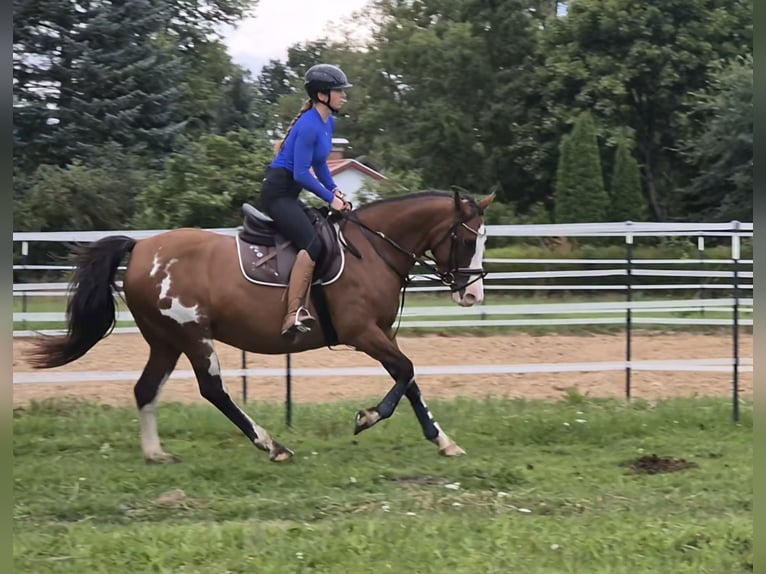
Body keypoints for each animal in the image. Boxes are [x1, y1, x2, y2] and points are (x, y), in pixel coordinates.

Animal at [28, 189, 495, 463]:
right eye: (467, 238)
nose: (472, 295)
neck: (372, 249)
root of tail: (141, 248)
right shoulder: (362, 333)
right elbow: (406, 371)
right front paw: (367, 417)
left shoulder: (383, 332)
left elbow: (410, 379)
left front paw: (442, 440)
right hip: (193, 336)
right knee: (213, 390)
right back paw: (272, 445)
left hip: (166, 340)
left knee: (146, 389)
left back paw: (156, 453)